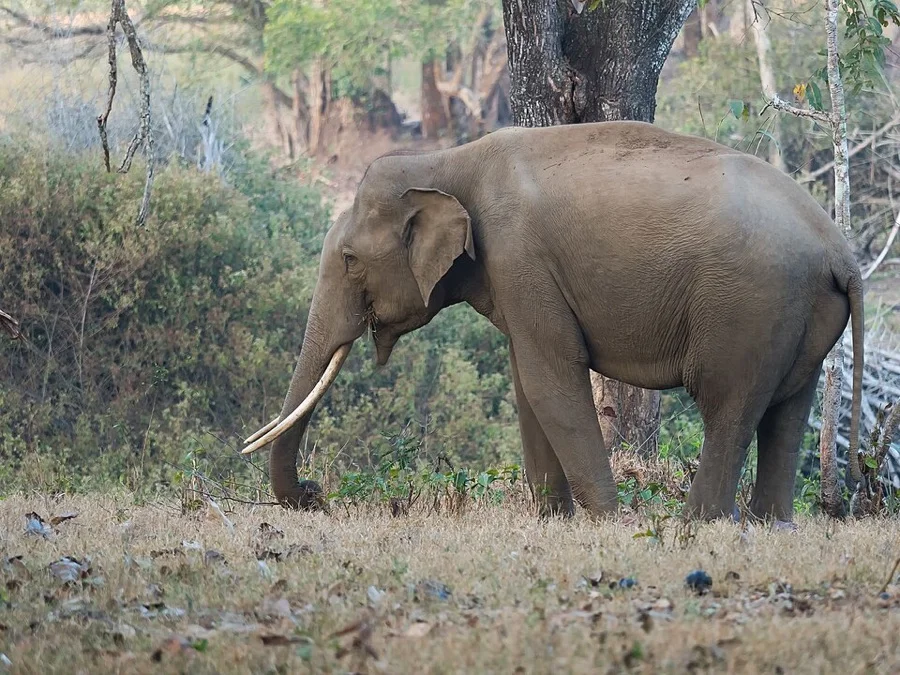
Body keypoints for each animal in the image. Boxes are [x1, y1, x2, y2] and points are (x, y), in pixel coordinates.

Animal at [241, 120, 864, 525]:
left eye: (348, 259)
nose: (314, 495)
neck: (447, 160)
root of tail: (841, 251)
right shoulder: (514, 276)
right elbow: (527, 383)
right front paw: (553, 518)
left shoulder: (520, 256)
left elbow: (551, 381)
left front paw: (607, 522)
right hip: (797, 314)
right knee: (787, 411)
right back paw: (770, 524)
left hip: (749, 307)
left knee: (728, 408)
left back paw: (698, 525)